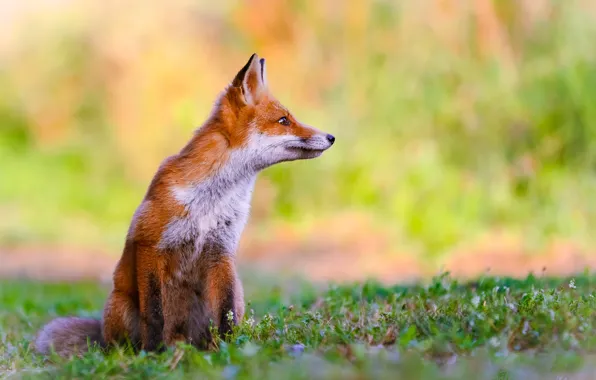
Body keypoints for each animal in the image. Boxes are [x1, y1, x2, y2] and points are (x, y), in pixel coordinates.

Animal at [35, 52, 336, 356]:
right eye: (284, 120)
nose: (332, 137)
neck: (213, 199)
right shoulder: (150, 245)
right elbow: (154, 313)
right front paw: (153, 354)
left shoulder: (220, 251)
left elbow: (225, 312)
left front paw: (228, 349)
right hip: (121, 304)